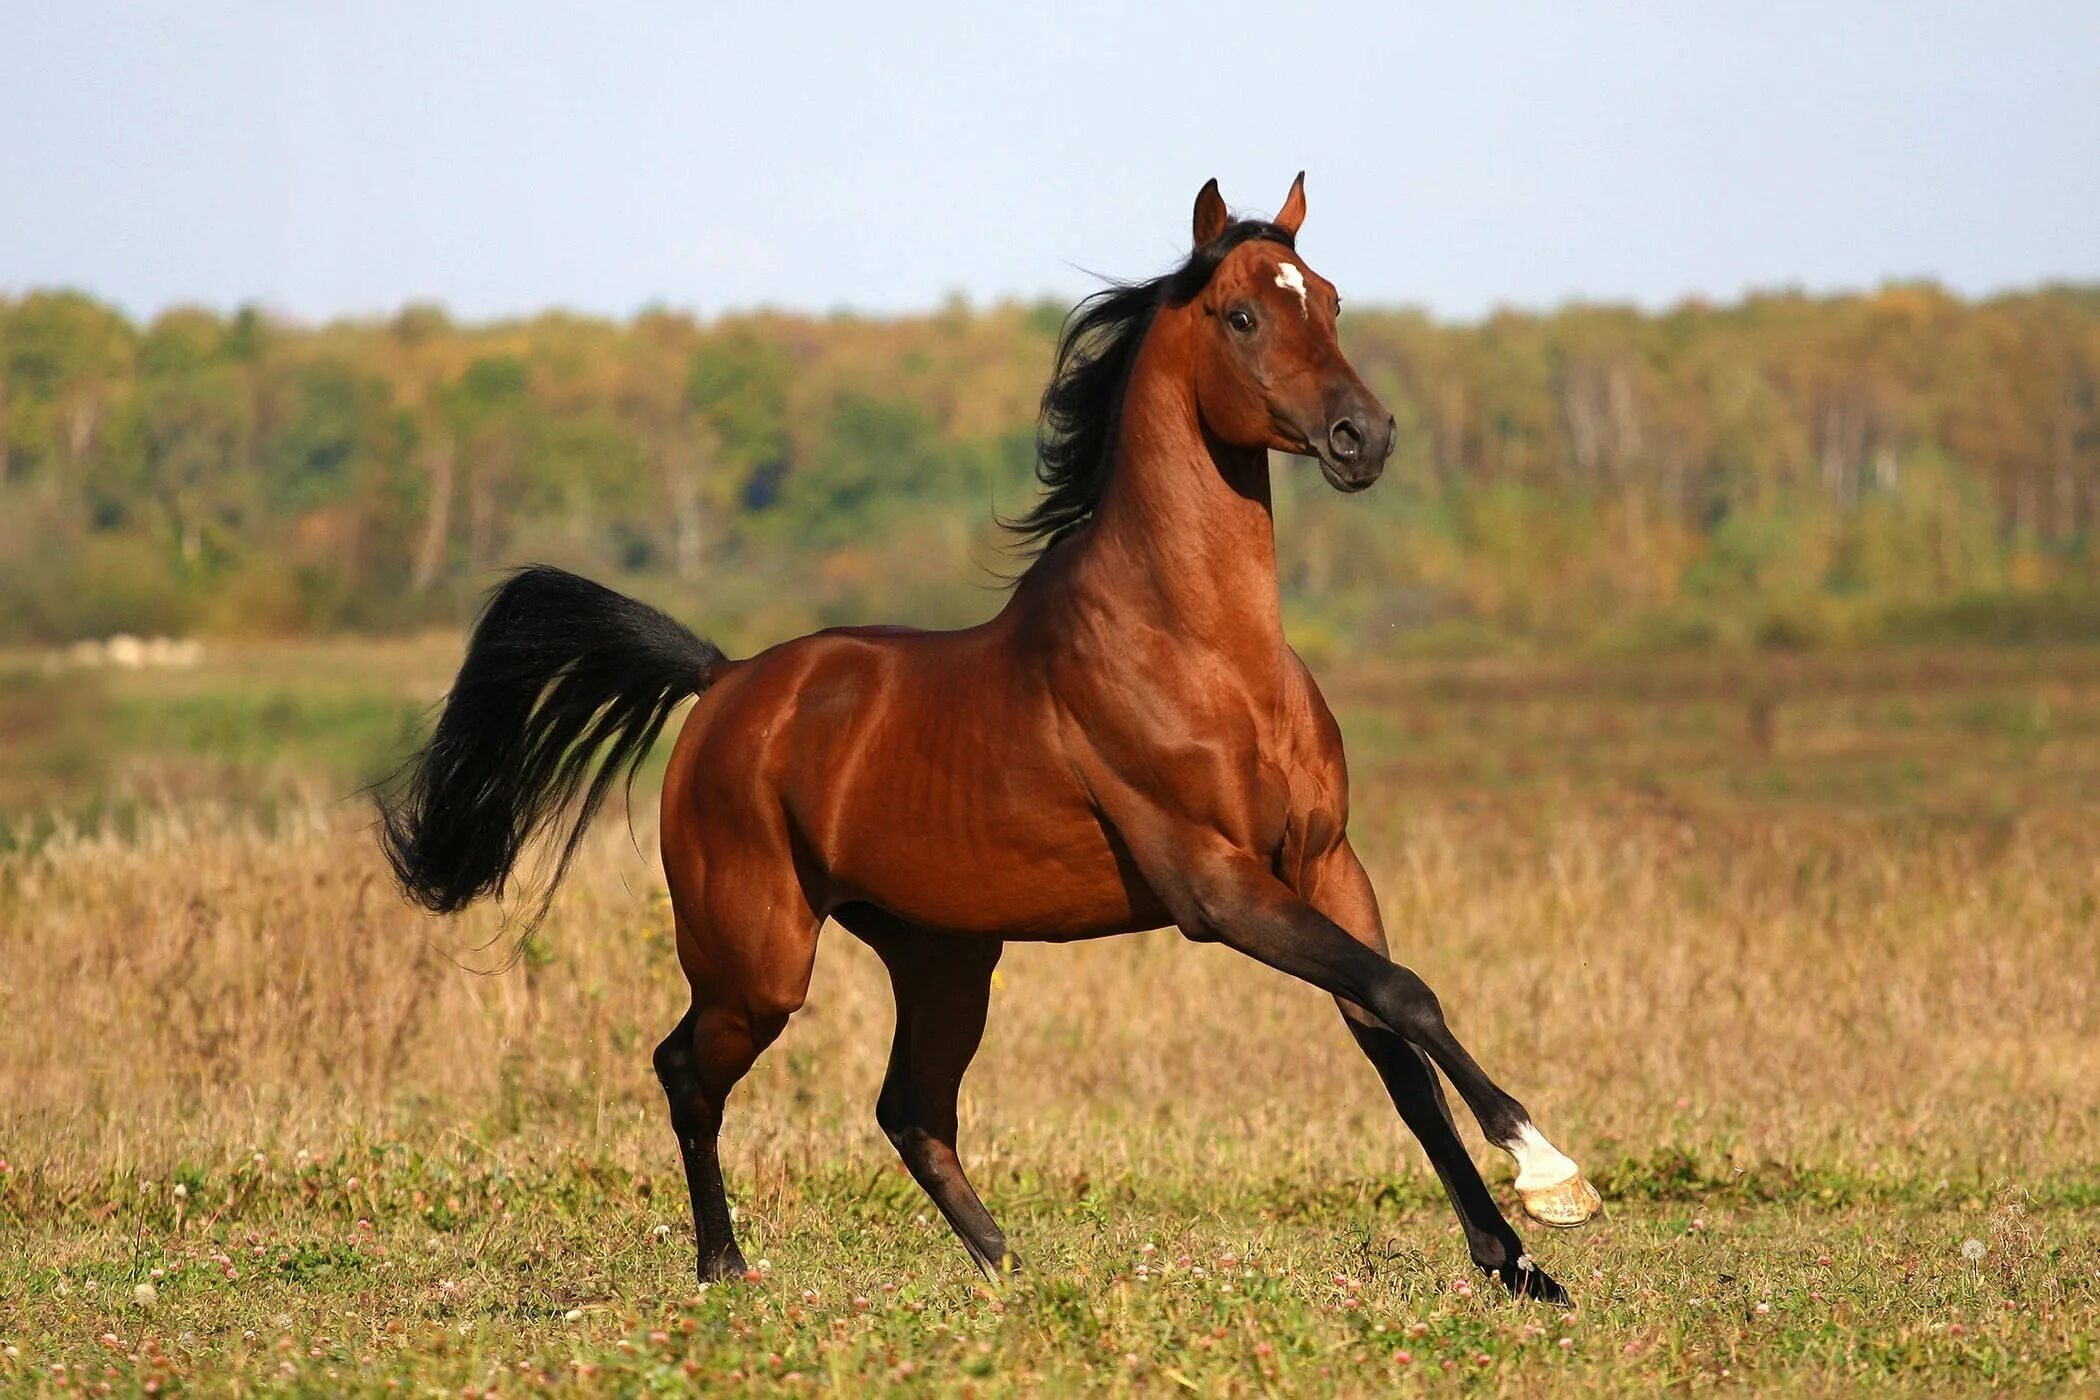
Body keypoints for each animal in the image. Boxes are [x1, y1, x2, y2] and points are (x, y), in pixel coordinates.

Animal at [377, 172, 1595, 1301]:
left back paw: (1016, 1272)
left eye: (1331, 299)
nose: (1363, 437)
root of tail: (724, 683)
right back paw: (727, 1268)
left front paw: (1517, 1261)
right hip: (758, 962)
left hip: (944, 954)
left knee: (909, 1108)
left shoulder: (1328, 864)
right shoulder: (1217, 886)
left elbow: (1392, 1034)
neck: (1202, 651)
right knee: (689, 1071)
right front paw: (1552, 1175)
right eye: (1245, 314)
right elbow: (1405, 996)